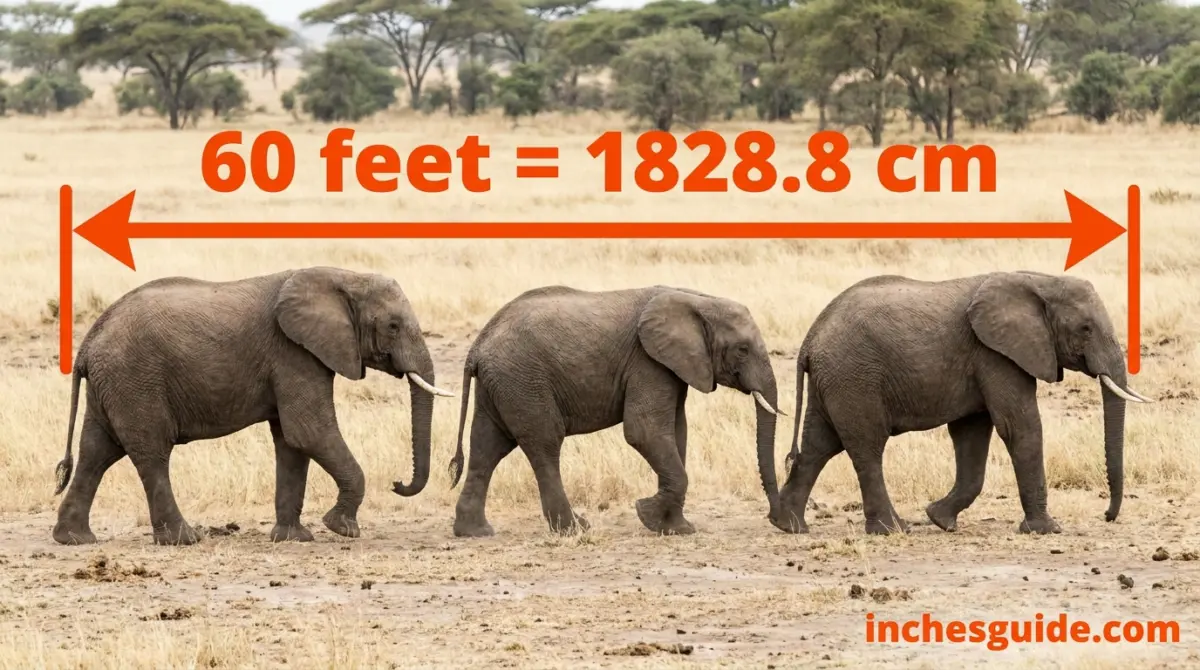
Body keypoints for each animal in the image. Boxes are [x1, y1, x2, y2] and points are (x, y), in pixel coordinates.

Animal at [51, 266, 455, 546]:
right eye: (393, 326)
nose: (397, 482)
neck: (343, 276)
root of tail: (88, 343)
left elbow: (292, 443)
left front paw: (293, 539)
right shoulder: (293, 353)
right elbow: (309, 431)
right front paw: (342, 529)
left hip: (114, 384)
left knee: (96, 453)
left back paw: (74, 539)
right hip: (135, 379)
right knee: (151, 454)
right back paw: (185, 540)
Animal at [443, 284, 787, 538]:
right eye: (742, 349)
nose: (777, 520)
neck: (698, 299)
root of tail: (477, 346)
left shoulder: (672, 366)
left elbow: (677, 433)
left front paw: (676, 529)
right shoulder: (648, 361)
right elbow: (644, 431)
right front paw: (648, 514)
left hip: (501, 384)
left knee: (487, 448)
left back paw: (476, 532)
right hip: (524, 381)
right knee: (544, 445)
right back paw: (575, 529)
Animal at [771, 271, 1152, 537]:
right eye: (1086, 329)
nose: (1107, 515)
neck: (1040, 280)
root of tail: (810, 339)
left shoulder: (984, 360)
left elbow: (972, 434)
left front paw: (940, 520)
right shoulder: (995, 354)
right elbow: (1019, 426)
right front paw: (1047, 530)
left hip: (835, 379)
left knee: (819, 445)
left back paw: (788, 525)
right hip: (854, 376)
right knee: (866, 447)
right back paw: (892, 530)